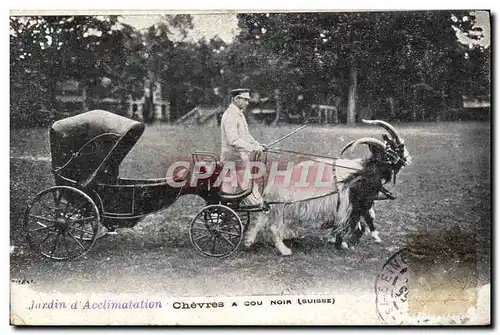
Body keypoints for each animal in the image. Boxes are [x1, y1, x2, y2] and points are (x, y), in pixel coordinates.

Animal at [242, 121, 410, 258]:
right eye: (391, 152)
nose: (407, 160)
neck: (361, 171)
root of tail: (272, 185)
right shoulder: (353, 204)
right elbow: (356, 223)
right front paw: (345, 243)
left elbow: (359, 222)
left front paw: (338, 240)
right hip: (282, 207)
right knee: (274, 228)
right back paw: (284, 250)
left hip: (272, 208)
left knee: (260, 221)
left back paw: (248, 242)